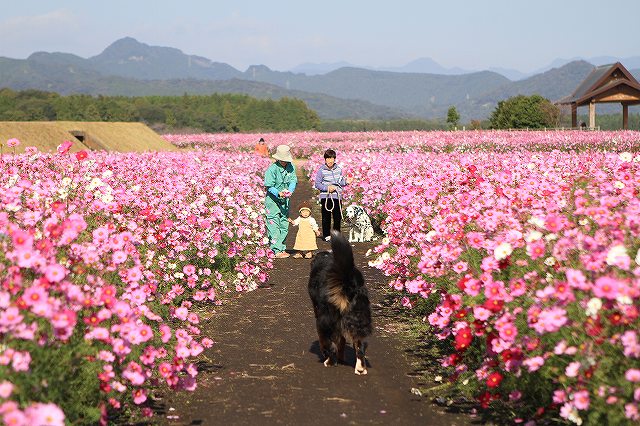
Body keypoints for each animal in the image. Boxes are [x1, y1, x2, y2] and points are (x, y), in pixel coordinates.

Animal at [308, 230, 372, 372]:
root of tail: (348, 282)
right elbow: (342, 341)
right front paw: (341, 357)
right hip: (359, 320)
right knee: (360, 347)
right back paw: (360, 368)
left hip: (324, 320)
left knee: (329, 345)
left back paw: (330, 362)